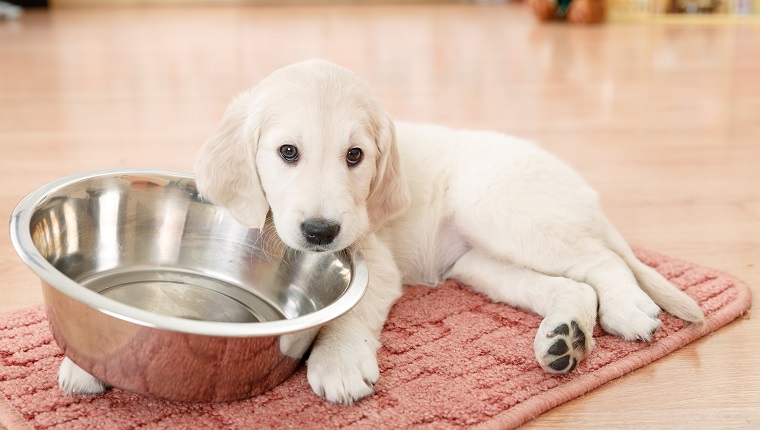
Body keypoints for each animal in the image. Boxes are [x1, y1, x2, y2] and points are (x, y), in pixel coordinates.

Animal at [59, 59, 708, 404]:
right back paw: (564, 339)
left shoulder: (373, 260)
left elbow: (348, 314)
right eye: (287, 152)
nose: (321, 232)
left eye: (355, 156)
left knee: (602, 262)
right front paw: (89, 358)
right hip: (477, 265)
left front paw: (340, 362)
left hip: (499, 208)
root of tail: (584, 193)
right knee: (571, 284)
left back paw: (628, 309)